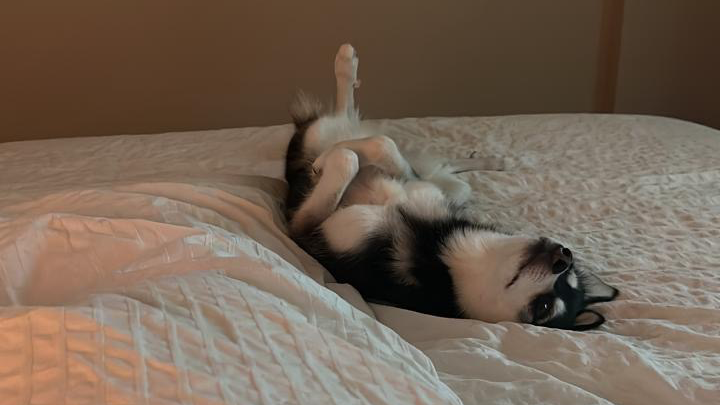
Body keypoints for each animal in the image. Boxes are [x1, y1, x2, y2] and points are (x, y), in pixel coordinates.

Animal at [284, 44, 618, 330]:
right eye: (568, 272)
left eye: (545, 308)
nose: (564, 257)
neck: (441, 247)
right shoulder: (415, 185)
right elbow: (383, 147)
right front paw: (329, 159)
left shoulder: (306, 228)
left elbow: (346, 161)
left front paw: (330, 161)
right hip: (436, 179)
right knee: (365, 127)